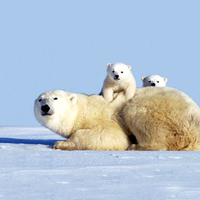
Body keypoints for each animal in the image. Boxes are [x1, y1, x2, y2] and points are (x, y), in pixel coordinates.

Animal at [34, 86, 200, 151]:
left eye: (55, 98)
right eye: (40, 99)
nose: (45, 108)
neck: (82, 110)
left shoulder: (102, 116)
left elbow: (112, 136)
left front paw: (60, 143)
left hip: (158, 109)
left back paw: (136, 146)